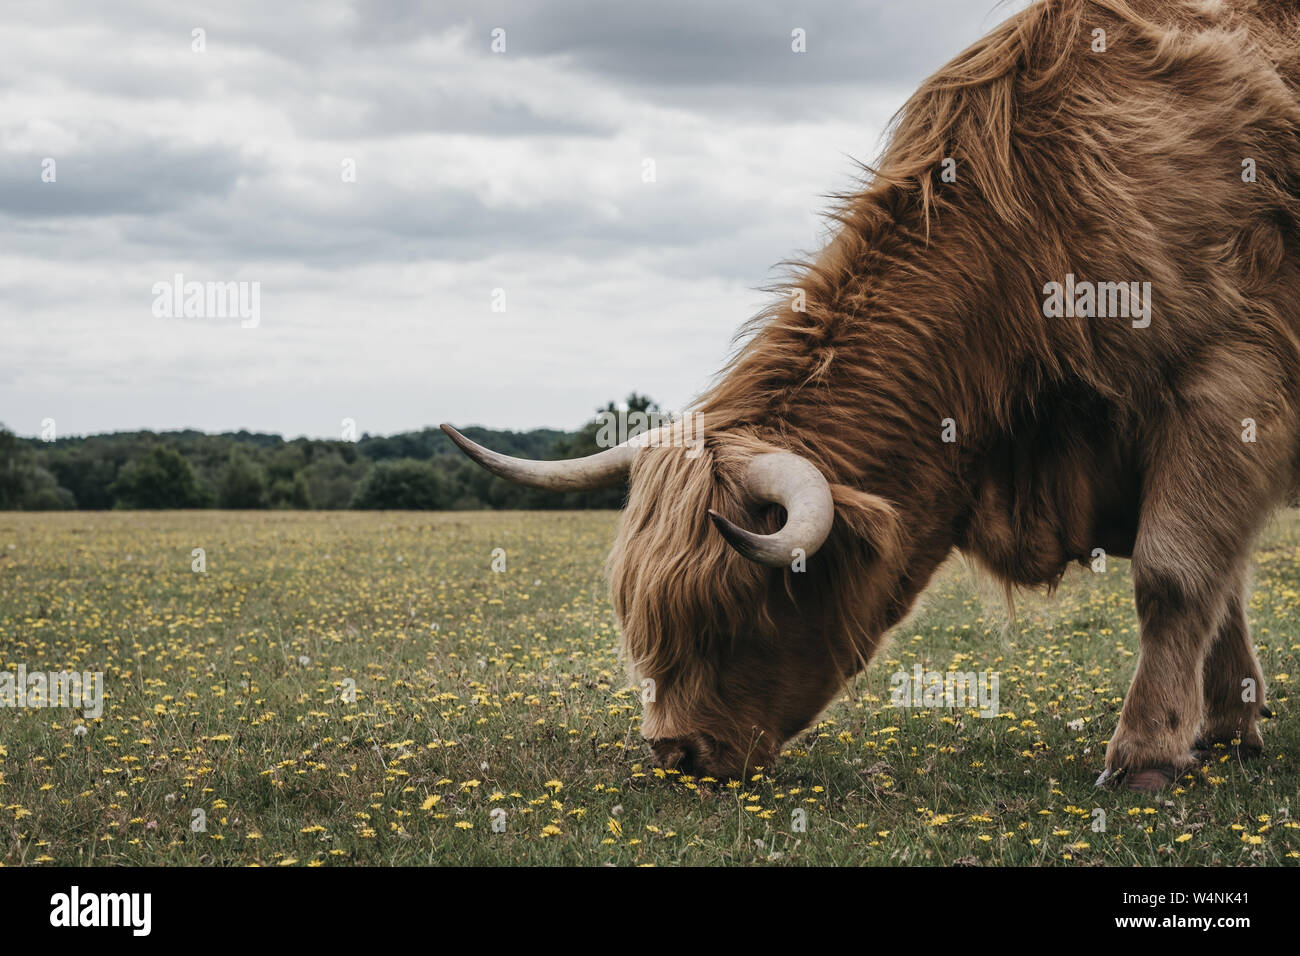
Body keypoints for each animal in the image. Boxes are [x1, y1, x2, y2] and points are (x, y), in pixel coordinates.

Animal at [444, 0, 1300, 791]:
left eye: (735, 609)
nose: (677, 753)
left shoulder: (1229, 380)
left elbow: (1174, 572)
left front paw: (1149, 751)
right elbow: (1221, 580)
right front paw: (1227, 724)